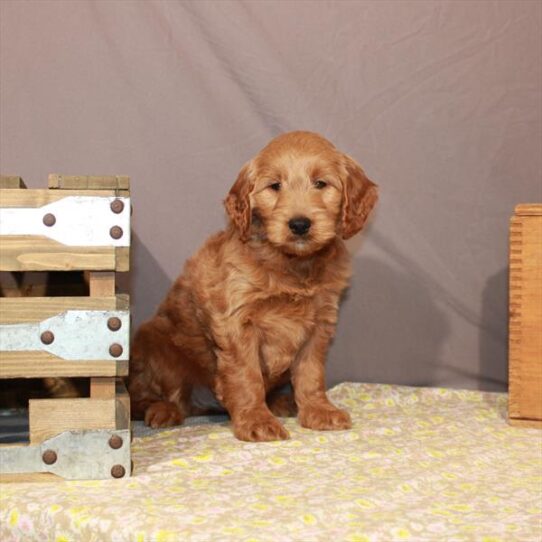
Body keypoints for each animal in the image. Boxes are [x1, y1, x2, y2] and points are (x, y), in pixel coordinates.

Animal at [129, 131, 378, 442]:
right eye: (275, 186)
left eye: (321, 183)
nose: (299, 224)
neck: (291, 264)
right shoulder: (236, 322)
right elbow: (246, 376)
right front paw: (256, 420)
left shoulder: (320, 322)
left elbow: (311, 374)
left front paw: (319, 411)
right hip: (155, 345)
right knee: (145, 397)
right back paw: (163, 410)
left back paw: (282, 402)